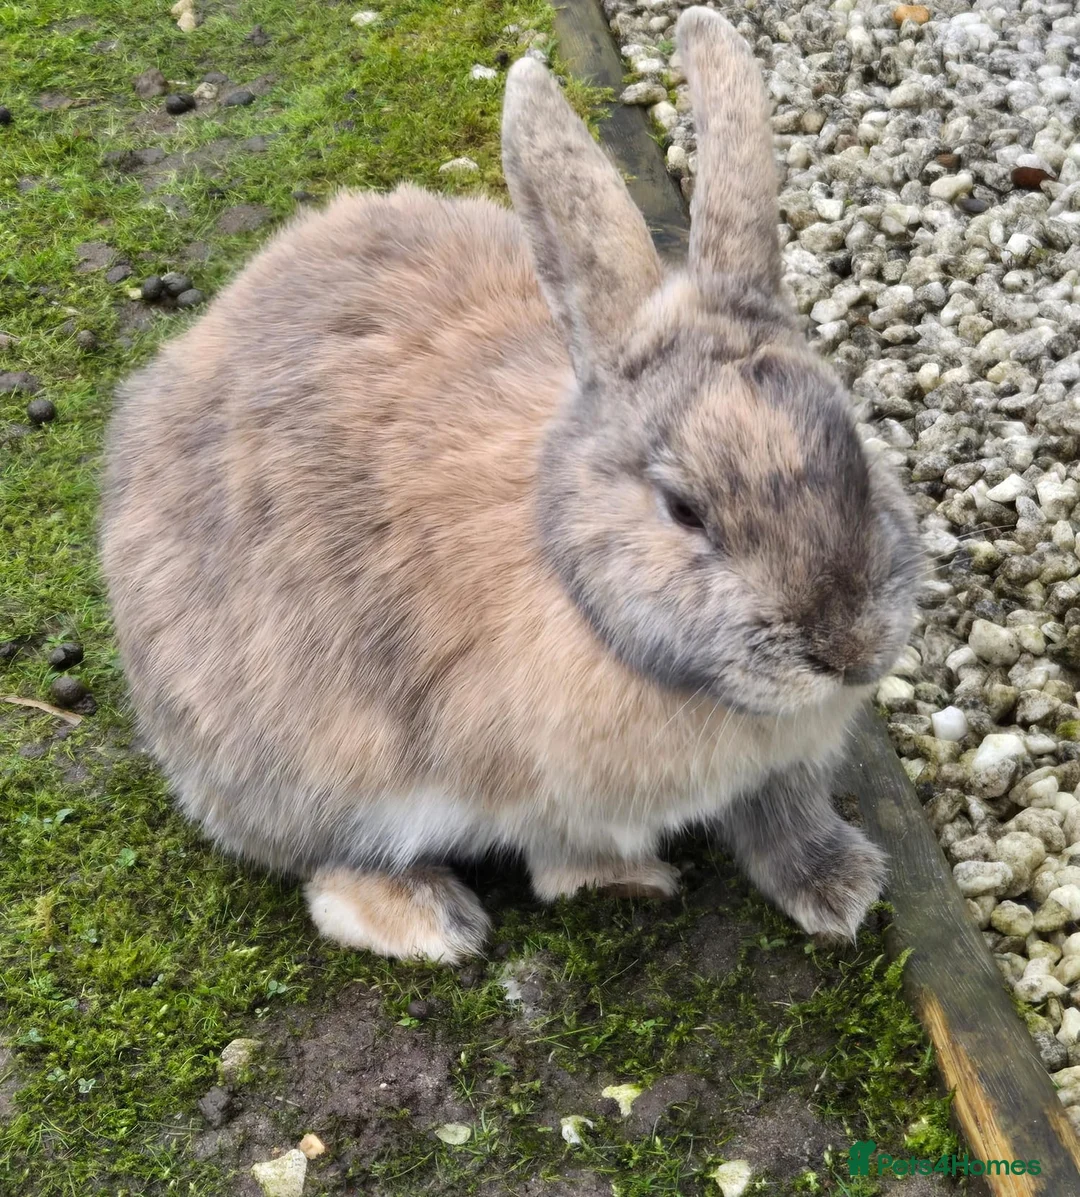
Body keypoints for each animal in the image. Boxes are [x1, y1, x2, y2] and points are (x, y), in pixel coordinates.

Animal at [100, 6, 923, 964]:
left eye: (856, 448)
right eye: (683, 508)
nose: (850, 648)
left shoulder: (781, 768)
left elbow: (783, 816)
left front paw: (838, 888)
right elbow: (564, 852)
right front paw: (622, 883)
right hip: (283, 757)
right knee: (322, 858)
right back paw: (428, 919)